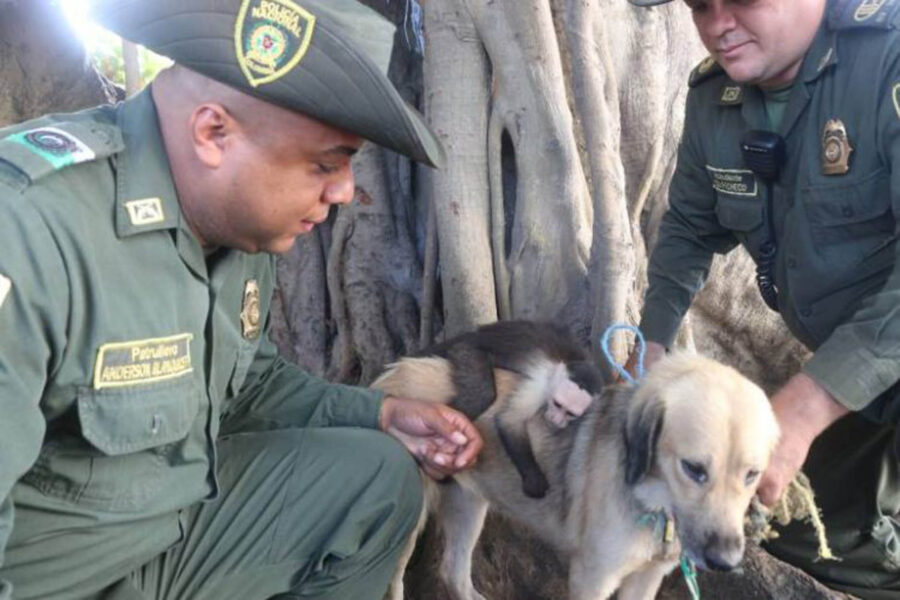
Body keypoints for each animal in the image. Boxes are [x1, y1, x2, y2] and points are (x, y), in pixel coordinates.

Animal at [374, 352, 780, 600]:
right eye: (694, 469)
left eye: (752, 475)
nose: (726, 562)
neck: (653, 506)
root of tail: (393, 372)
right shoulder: (592, 577)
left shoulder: (646, 579)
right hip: (410, 522)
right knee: (396, 581)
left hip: (469, 505)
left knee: (454, 573)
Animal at [422, 322, 604, 500]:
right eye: (558, 405)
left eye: (570, 414)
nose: (556, 420)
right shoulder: (541, 383)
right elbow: (509, 421)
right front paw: (533, 479)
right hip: (465, 351)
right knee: (482, 394)